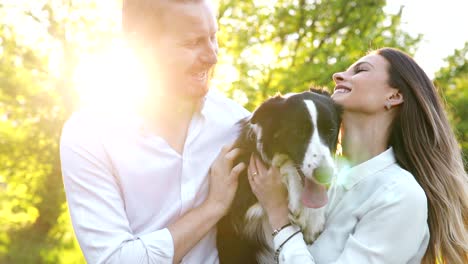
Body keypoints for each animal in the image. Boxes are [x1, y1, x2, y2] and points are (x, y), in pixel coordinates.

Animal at [216, 89, 340, 264]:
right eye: (298, 132)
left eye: (331, 131)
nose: (325, 174)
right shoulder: (242, 199)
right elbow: (286, 167)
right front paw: (301, 207)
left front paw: (314, 218)